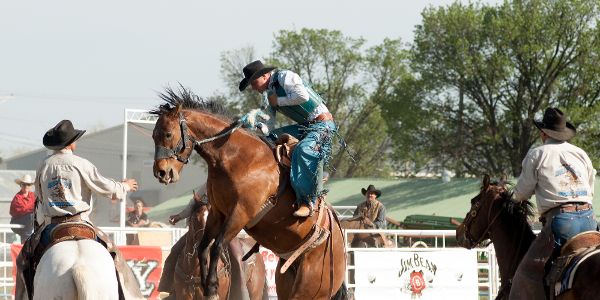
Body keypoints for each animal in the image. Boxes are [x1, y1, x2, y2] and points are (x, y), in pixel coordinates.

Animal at [150, 88, 346, 300]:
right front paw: (206, 284)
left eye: (168, 134)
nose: (161, 172)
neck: (239, 158)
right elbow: (204, 246)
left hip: (311, 287)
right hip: (286, 282)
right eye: (153, 135)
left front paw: (212, 287)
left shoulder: (240, 213)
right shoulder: (217, 213)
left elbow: (217, 246)